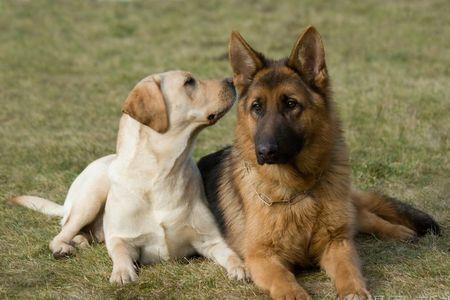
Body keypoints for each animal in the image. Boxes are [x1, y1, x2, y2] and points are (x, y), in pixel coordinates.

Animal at [13, 69, 246, 284]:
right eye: (189, 81)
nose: (232, 80)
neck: (161, 173)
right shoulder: (122, 238)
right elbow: (120, 253)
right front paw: (122, 273)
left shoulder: (211, 240)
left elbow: (232, 255)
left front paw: (240, 269)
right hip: (91, 196)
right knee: (61, 233)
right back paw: (64, 247)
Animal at [198, 27, 440, 298]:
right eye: (257, 107)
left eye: (291, 104)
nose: (265, 152)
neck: (297, 191)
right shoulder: (261, 258)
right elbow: (284, 279)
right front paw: (295, 293)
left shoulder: (337, 243)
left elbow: (348, 269)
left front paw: (354, 290)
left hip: (350, 216)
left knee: (368, 217)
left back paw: (400, 232)